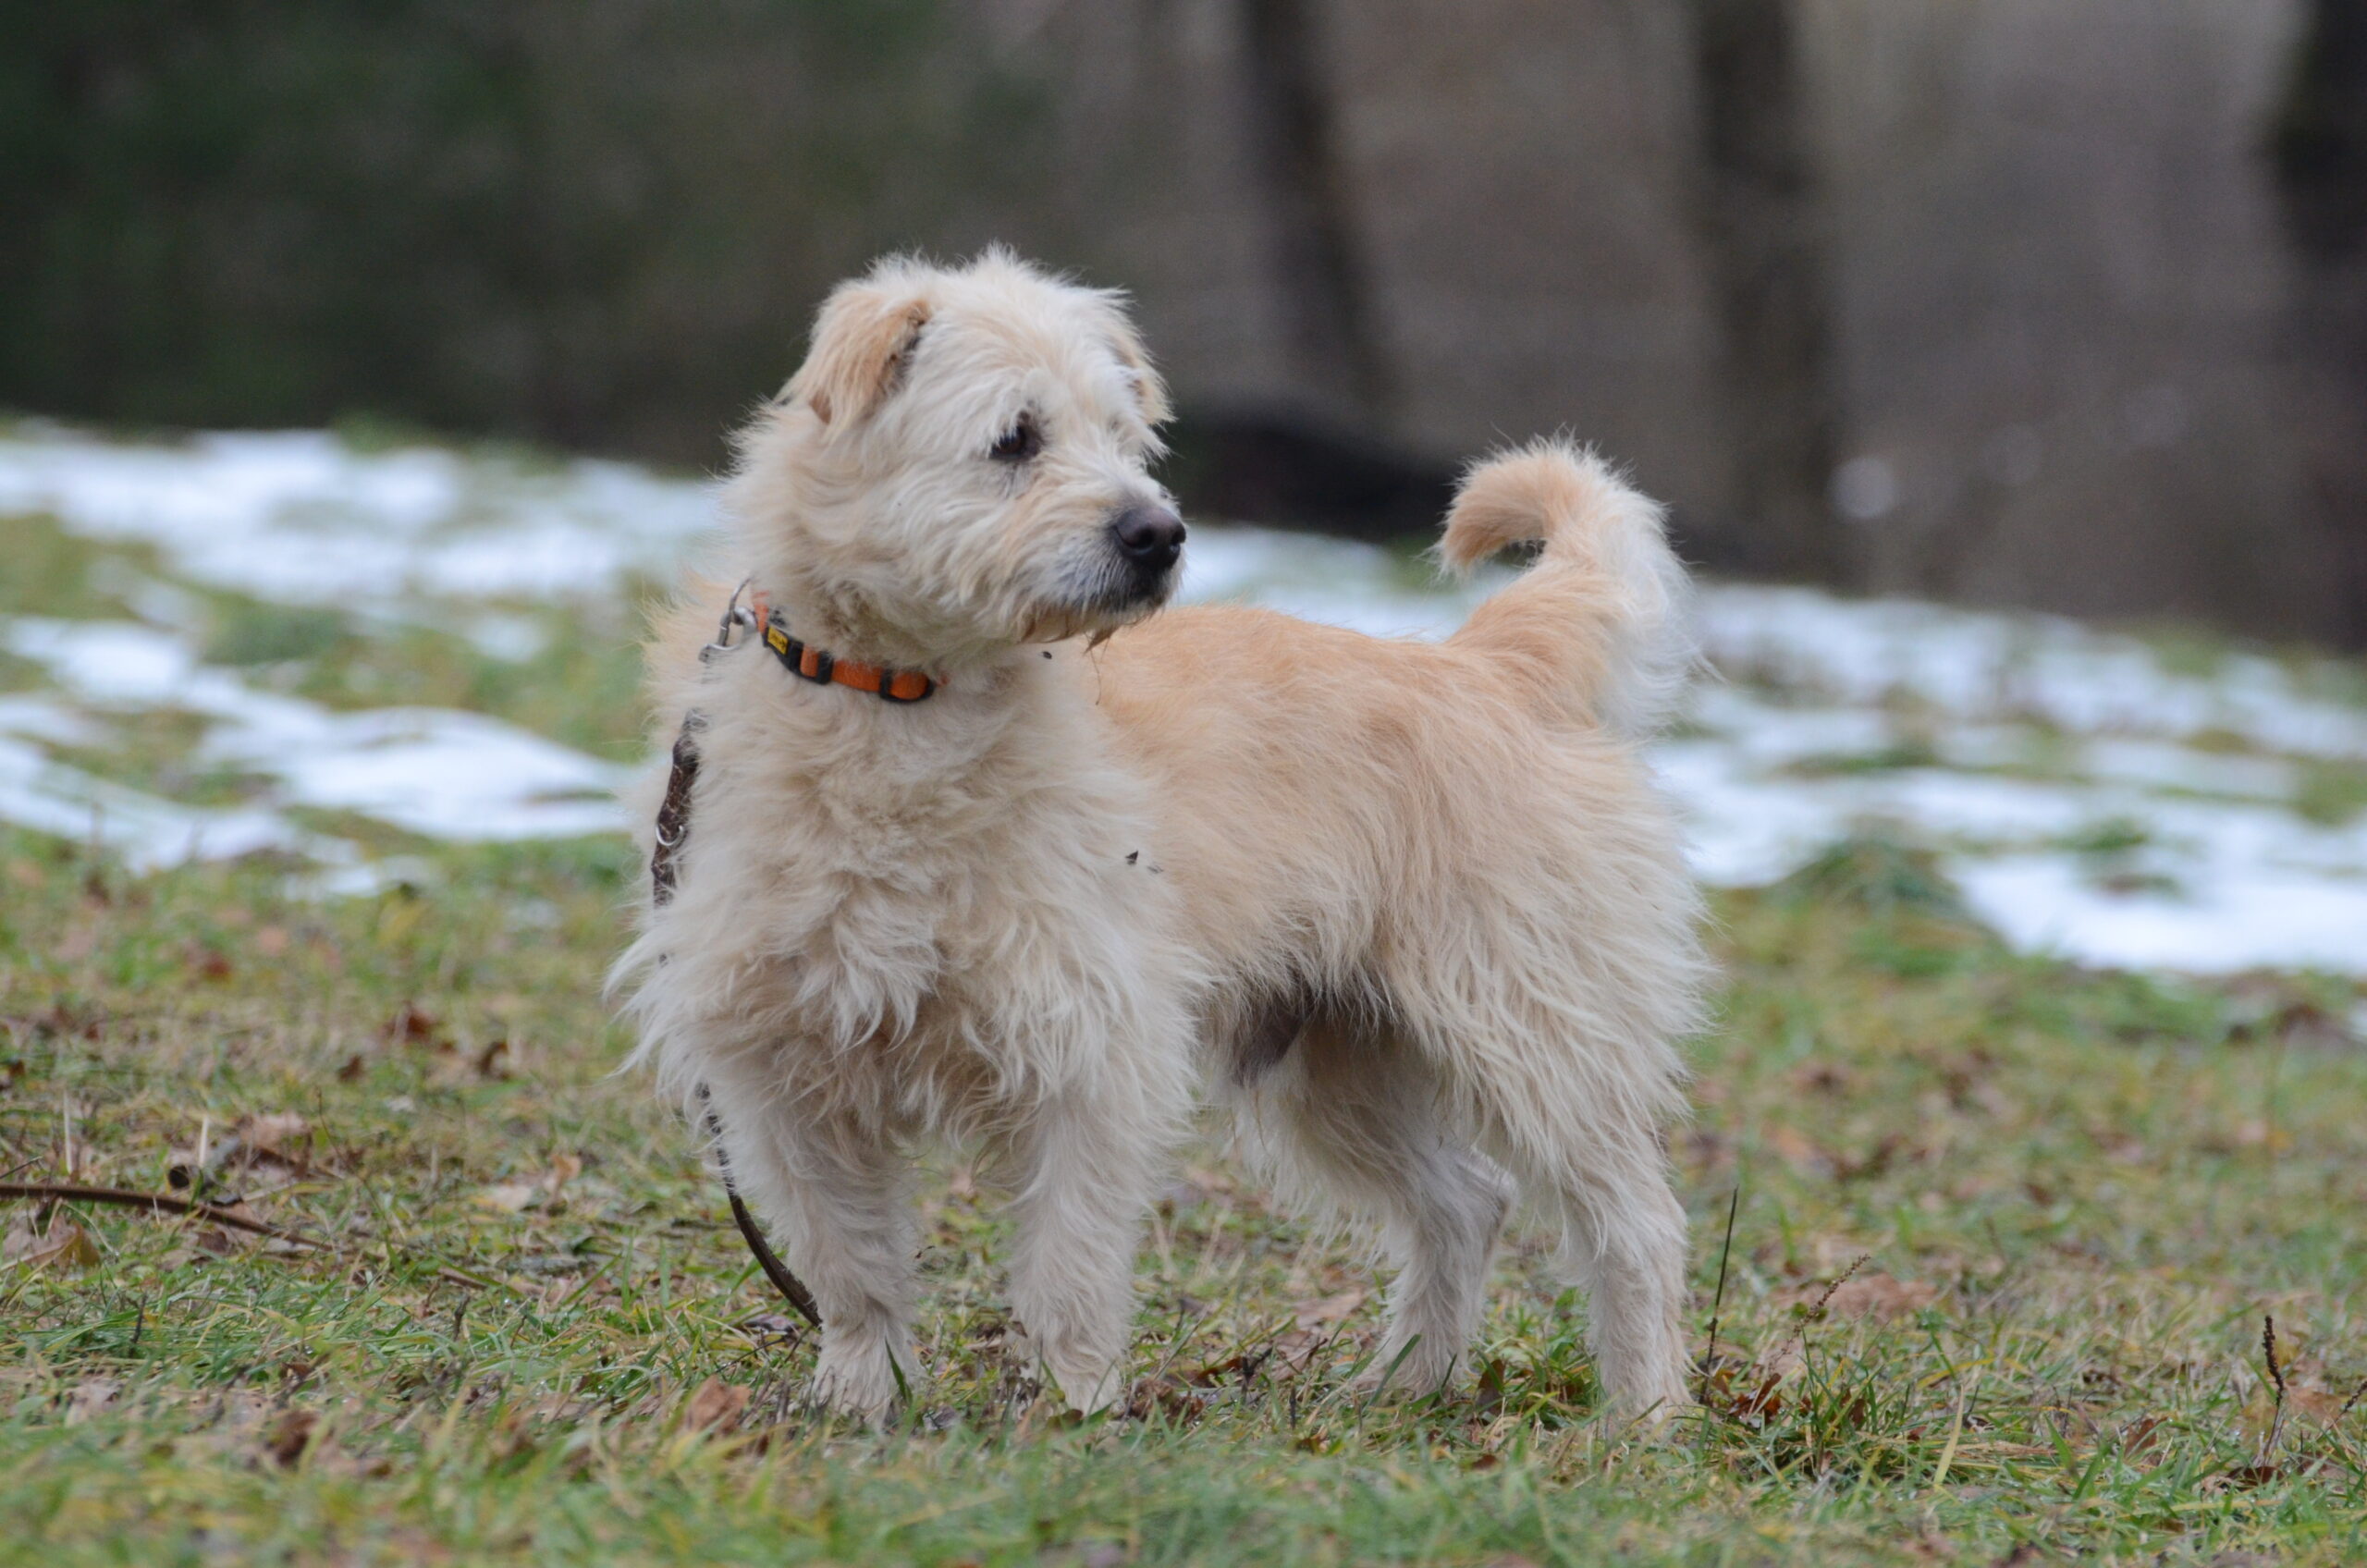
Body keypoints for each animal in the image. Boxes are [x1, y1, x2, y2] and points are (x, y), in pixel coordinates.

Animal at [616, 249, 1705, 1421]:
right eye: (1015, 437)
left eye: (1121, 437)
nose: (1160, 535)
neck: (902, 702)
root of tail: (1492, 661)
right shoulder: (781, 1072)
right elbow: (847, 1265)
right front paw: (863, 1403)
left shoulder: (1089, 1051)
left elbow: (1068, 1262)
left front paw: (1075, 1410)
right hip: (1342, 1057)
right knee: (1466, 1201)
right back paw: (1404, 1386)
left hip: (1536, 1029)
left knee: (1633, 1223)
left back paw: (1641, 1417)